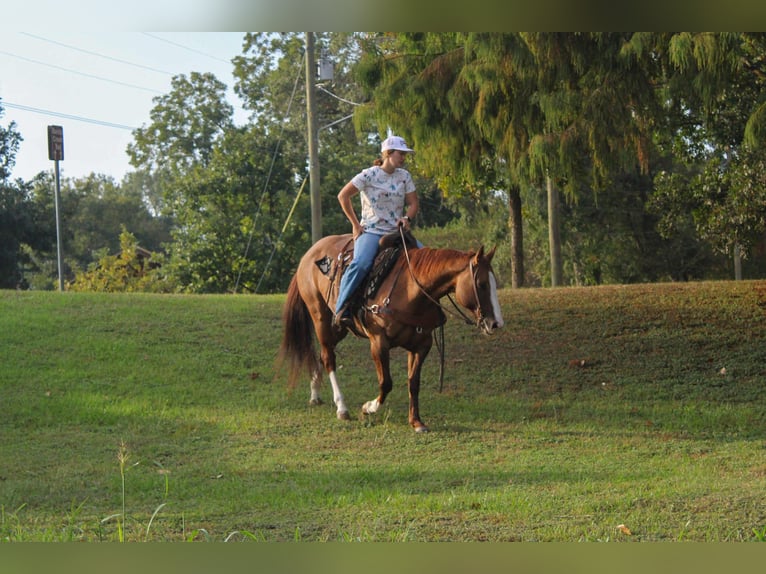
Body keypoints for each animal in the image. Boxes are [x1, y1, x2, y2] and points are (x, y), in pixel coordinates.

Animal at [279, 230, 504, 432]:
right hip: (320, 318)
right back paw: (341, 407)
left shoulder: (422, 345)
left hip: (339, 327)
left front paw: (416, 422)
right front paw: (368, 408)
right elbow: (386, 382)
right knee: (329, 358)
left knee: (323, 354)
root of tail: (309, 254)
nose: (496, 324)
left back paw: (315, 395)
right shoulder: (379, 342)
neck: (410, 291)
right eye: (482, 284)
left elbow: (413, 382)